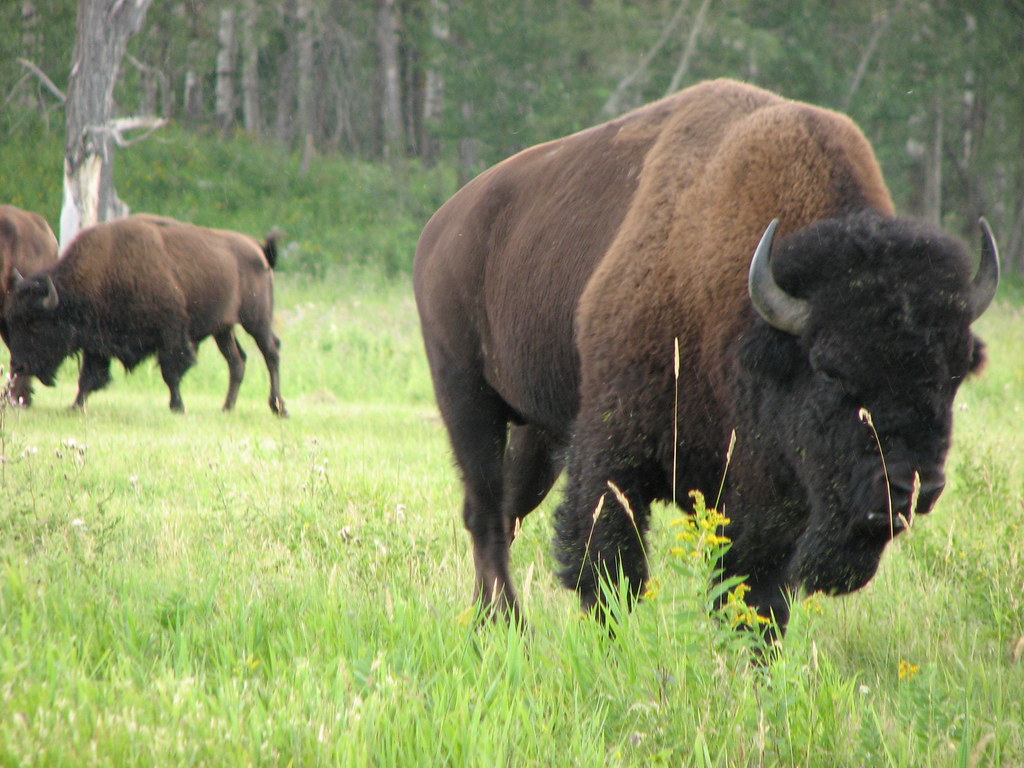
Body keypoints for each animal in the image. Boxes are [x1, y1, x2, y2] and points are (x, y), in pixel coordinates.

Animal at [4, 214, 286, 417]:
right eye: (13, 322)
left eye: (35, 325)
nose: (18, 366)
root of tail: (259, 249)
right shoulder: (97, 340)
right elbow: (89, 376)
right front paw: (75, 406)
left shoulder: (171, 332)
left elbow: (171, 371)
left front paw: (177, 406)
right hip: (223, 329)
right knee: (237, 361)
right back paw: (227, 407)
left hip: (256, 321)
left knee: (271, 352)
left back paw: (279, 408)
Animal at [413, 78, 999, 638]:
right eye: (831, 370)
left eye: (953, 374)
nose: (913, 487)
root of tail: (441, 228)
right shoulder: (614, 449)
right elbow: (610, 569)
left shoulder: (762, 498)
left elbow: (754, 592)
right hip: (466, 397)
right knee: (487, 514)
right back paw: (504, 625)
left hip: (540, 431)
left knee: (507, 510)